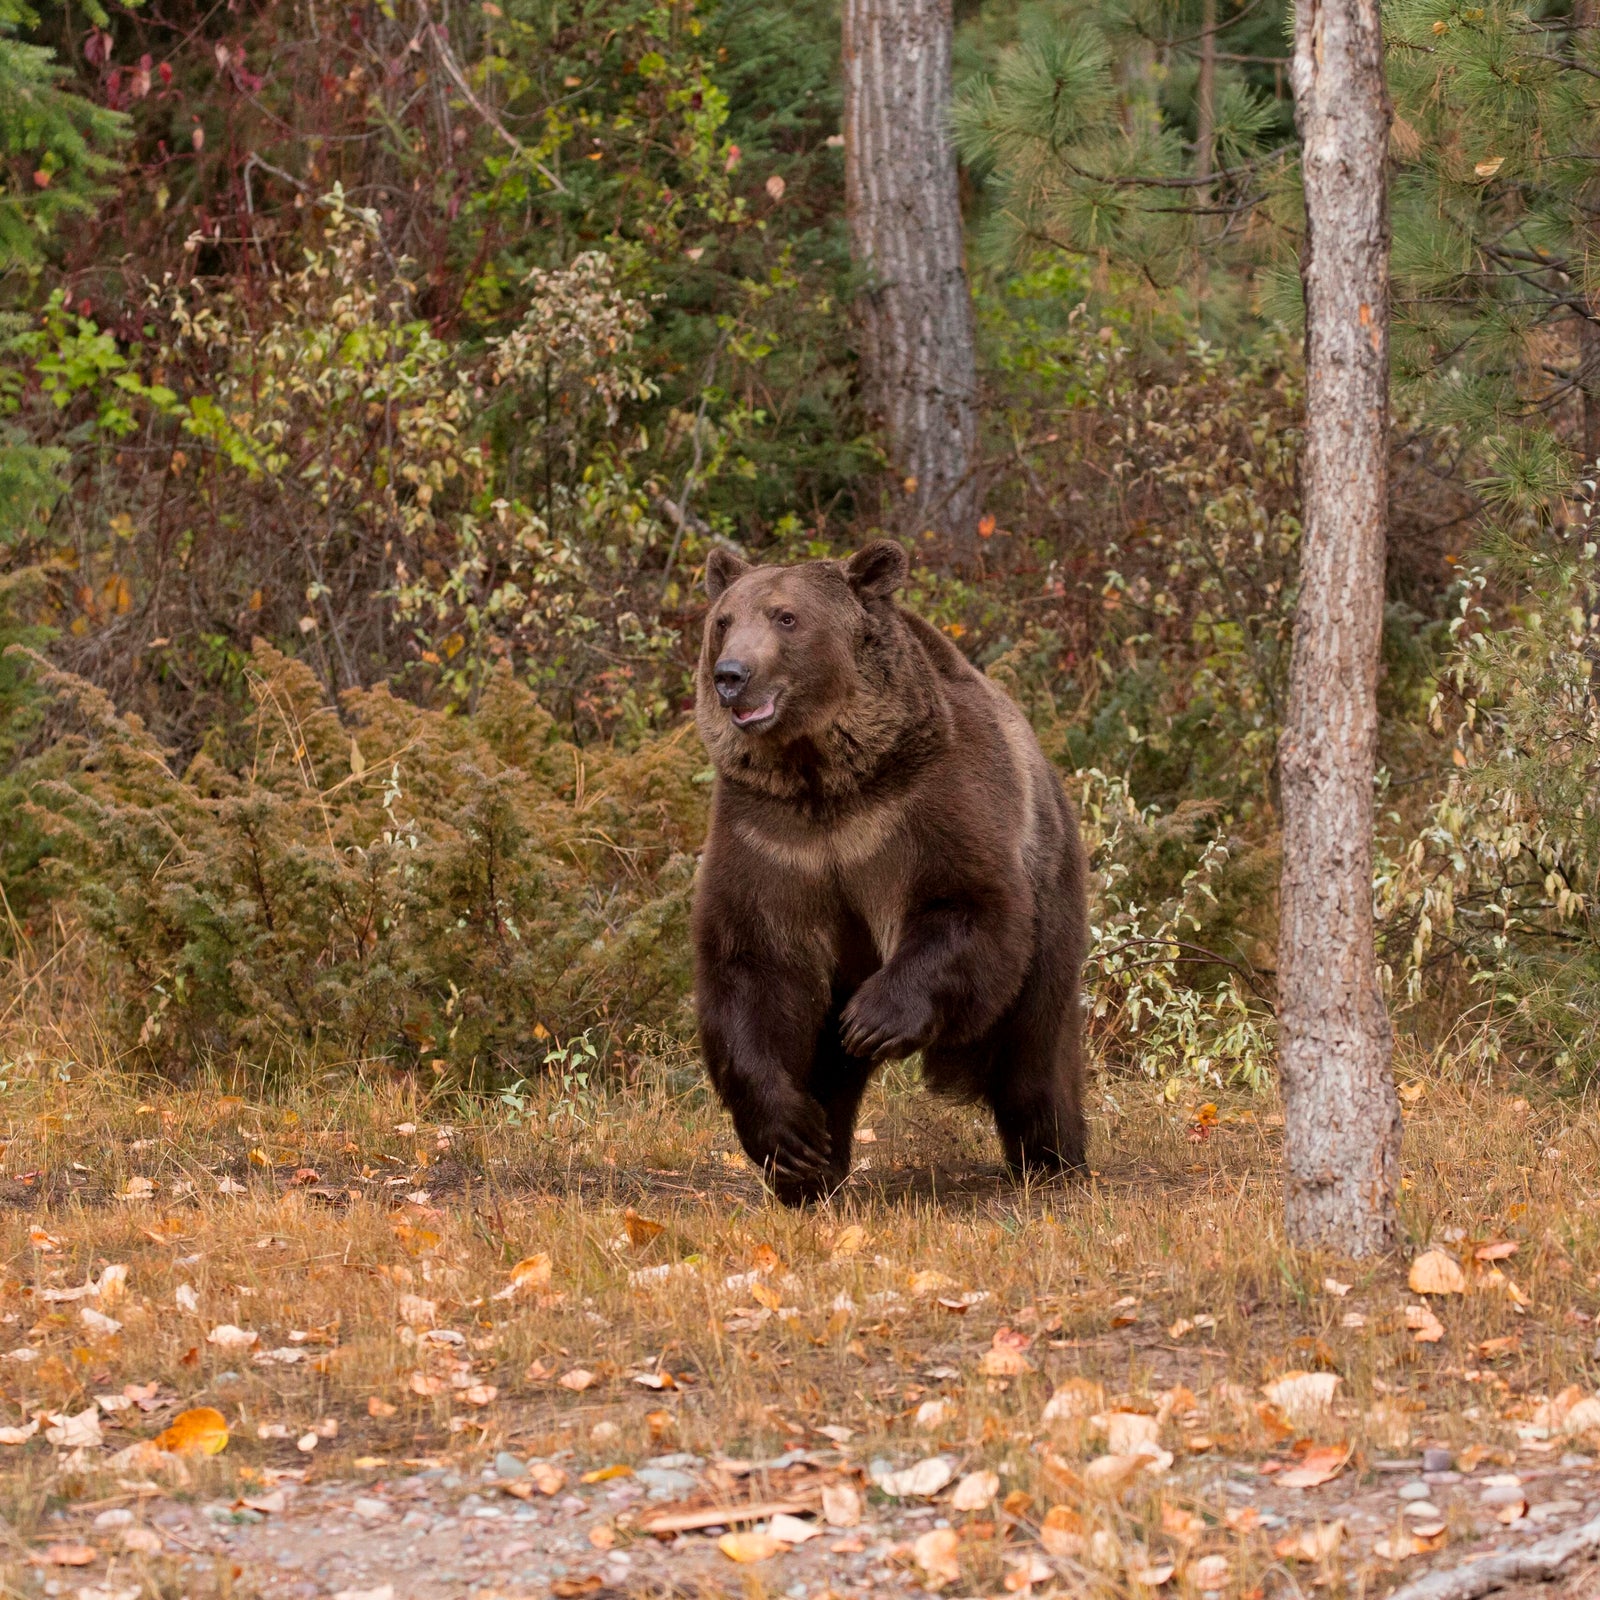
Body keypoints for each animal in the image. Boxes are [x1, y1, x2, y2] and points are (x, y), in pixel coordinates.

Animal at [691, 538, 1088, 1204]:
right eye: (723, 621)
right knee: (826, 1064)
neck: (825, 778)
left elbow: (966, 905)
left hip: (1052, 890)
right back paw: (813, 1171)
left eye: (786, 617)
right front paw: (789, 1138)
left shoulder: (923, 805)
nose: (732, 676)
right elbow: (753, 965)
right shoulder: (770, 839)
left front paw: (872, 1021)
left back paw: (1054, 1158)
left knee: (1036, 1050)